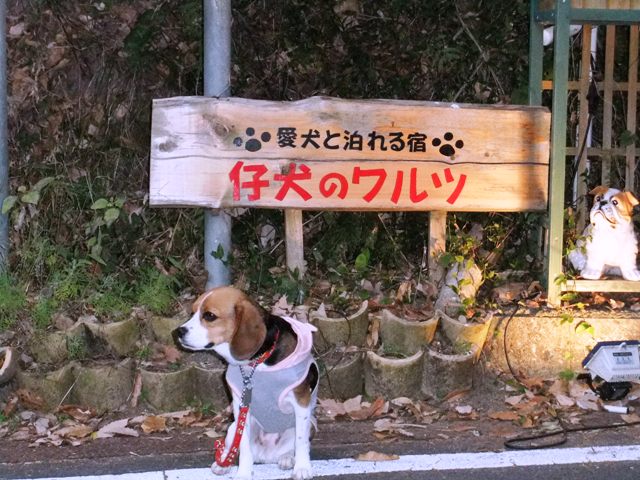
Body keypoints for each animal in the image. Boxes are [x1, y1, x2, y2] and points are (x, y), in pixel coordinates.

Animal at [174, 288, 318, 480]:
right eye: (192, 312)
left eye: (209, 316)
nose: (179, 331)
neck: (256, 363)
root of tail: (266, 456)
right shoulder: (241, 407)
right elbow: (243, 445)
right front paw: (243, 473)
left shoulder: (301, 403)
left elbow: (301, 442)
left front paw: (302, 467)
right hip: (233, 427)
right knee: (234, 446)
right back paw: (223, 463)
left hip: (309, 425)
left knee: (293, 446)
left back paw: (287, 458)